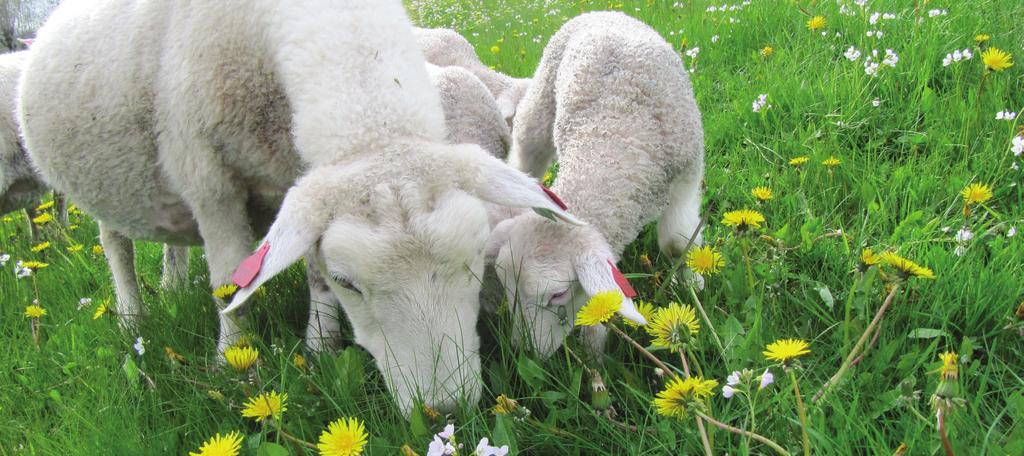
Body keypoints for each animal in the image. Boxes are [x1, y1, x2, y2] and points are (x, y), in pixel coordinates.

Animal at [19, 0, 593, 411]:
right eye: (350, 283)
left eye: (477, 261)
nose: (445, 409)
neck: (373, 133)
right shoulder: (209, 181)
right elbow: (228, 280)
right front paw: (233, 362)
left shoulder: (303, 178)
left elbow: (309, 271)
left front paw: (320, 348)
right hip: (101, 180)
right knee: (115, 244)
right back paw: (131, 317)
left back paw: (172, 282)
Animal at [487, 11, 704, 354]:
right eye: (507, 287)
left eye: (558, 295)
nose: (525, 352)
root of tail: (601, 11)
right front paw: (594, 346)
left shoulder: (687, 175)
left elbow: (677, 242)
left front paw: (693, 282)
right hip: (540, 107)